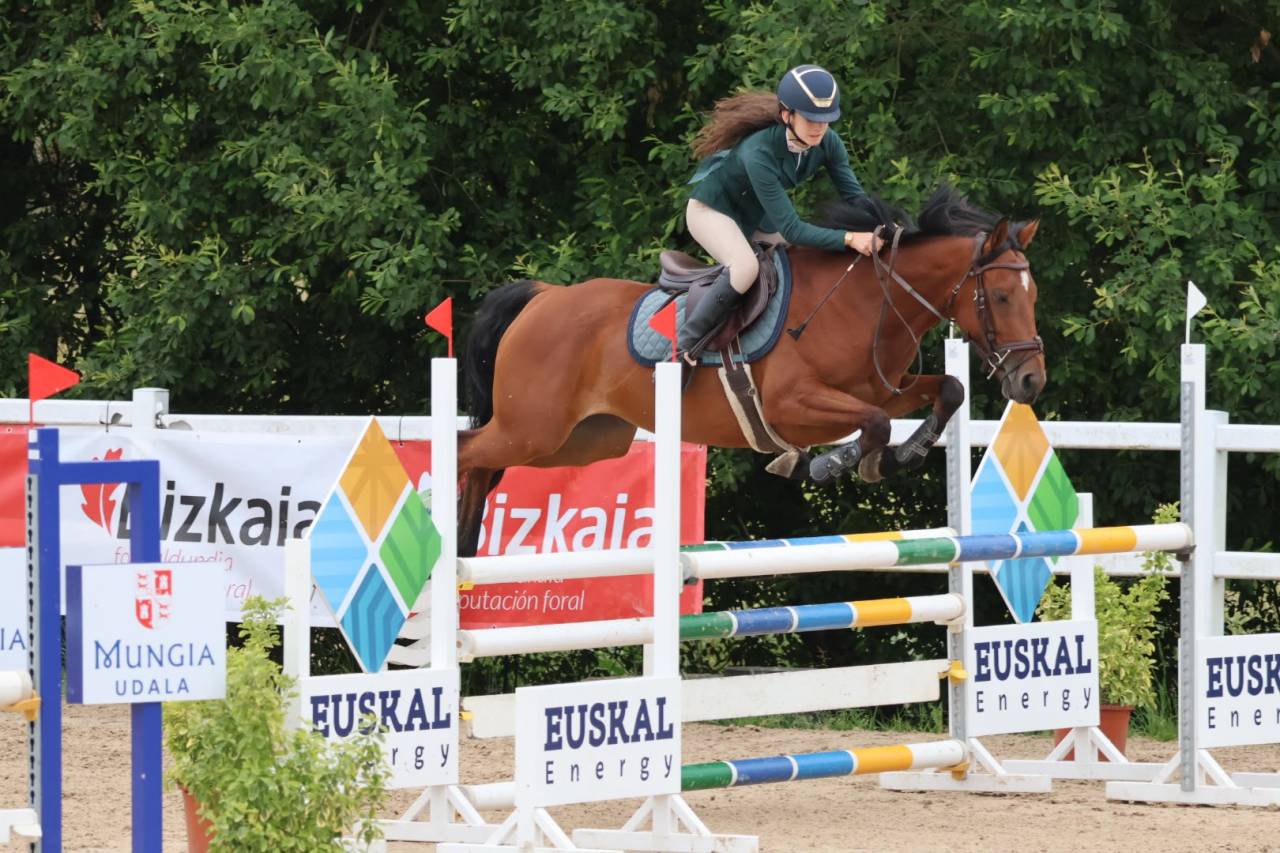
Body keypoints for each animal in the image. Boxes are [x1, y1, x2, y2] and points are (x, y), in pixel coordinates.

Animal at [455, 186, 1046, 558]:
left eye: (1032, 294)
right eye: (999, 296)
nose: (1030, 381)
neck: (864, 302)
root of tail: (543, 296)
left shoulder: (885, 388)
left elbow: (948, 388)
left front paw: (903, 454)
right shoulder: (794, 405)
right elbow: (874, 424)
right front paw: (828, 465)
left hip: (580, 441)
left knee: (483, 466)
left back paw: (462, 555)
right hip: (532, 429)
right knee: (466, 453)